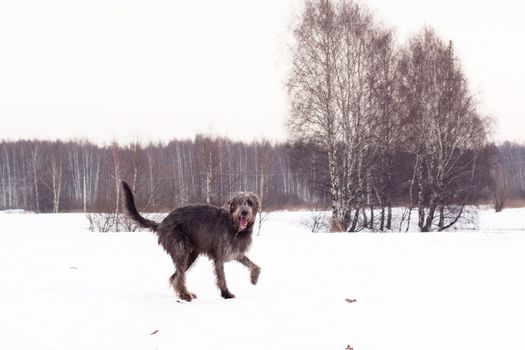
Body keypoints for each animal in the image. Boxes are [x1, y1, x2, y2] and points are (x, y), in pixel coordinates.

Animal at [123, 182, 262, 300]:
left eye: (250, 203)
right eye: (239, 203)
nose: (244, 212)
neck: (235, 227)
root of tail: (162, 223)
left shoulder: (237, 252)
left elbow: (255, 266)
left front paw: (254, 279)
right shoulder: (219, 257)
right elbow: (222, 278)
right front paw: (226, 294)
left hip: (190, 255)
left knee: (175, 277)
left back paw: (183, 293)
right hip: (180, 250)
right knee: (179, 276)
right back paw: (185, 295)